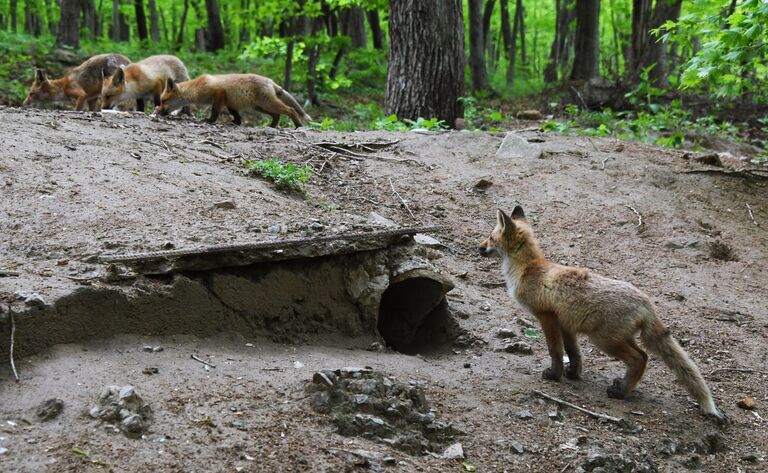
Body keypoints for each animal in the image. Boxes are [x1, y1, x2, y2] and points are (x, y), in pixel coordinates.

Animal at [154, 73, 310, 126]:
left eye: (163, 101)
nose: (158, 110)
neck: (196, 88)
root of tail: (270, 81)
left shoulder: (219, 93)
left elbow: (215, 111)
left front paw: (209, 121)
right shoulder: (229, 102)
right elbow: (236, 114)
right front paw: (237, 122)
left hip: (268, 104)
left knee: (290, 110)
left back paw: (298, 126)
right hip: (260, 107)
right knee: (277, 115)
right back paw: (271, 127)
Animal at [480, 205, 728, 418]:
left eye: (491, 237)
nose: (478, 247)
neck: (528, 269)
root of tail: (646, 302)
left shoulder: (547, 317)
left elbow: (555, 350)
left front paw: (554, 375)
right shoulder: (566, 323)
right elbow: (574, 352)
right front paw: (573, 374)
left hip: (604, 341)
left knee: (639, 358)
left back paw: (621, 393)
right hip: (620, 338)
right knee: (644, 356)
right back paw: (624, 385)